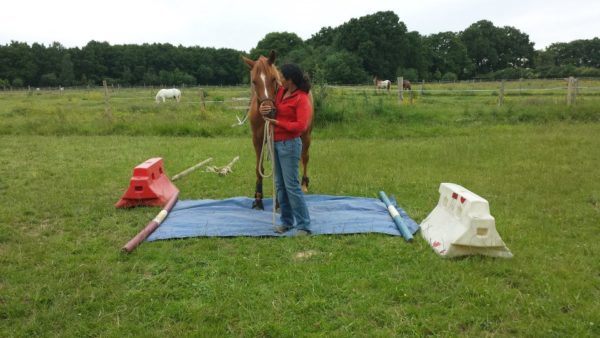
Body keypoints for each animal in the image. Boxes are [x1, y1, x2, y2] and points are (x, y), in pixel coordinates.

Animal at [241, 50, 314, 209]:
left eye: (274, 79)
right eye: (254, 82)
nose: (268, 111)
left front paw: (279, 203)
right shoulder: (257, 140)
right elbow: (259, 169)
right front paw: (258, 199)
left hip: (306, 135)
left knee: (305, 157)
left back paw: (304, 184)